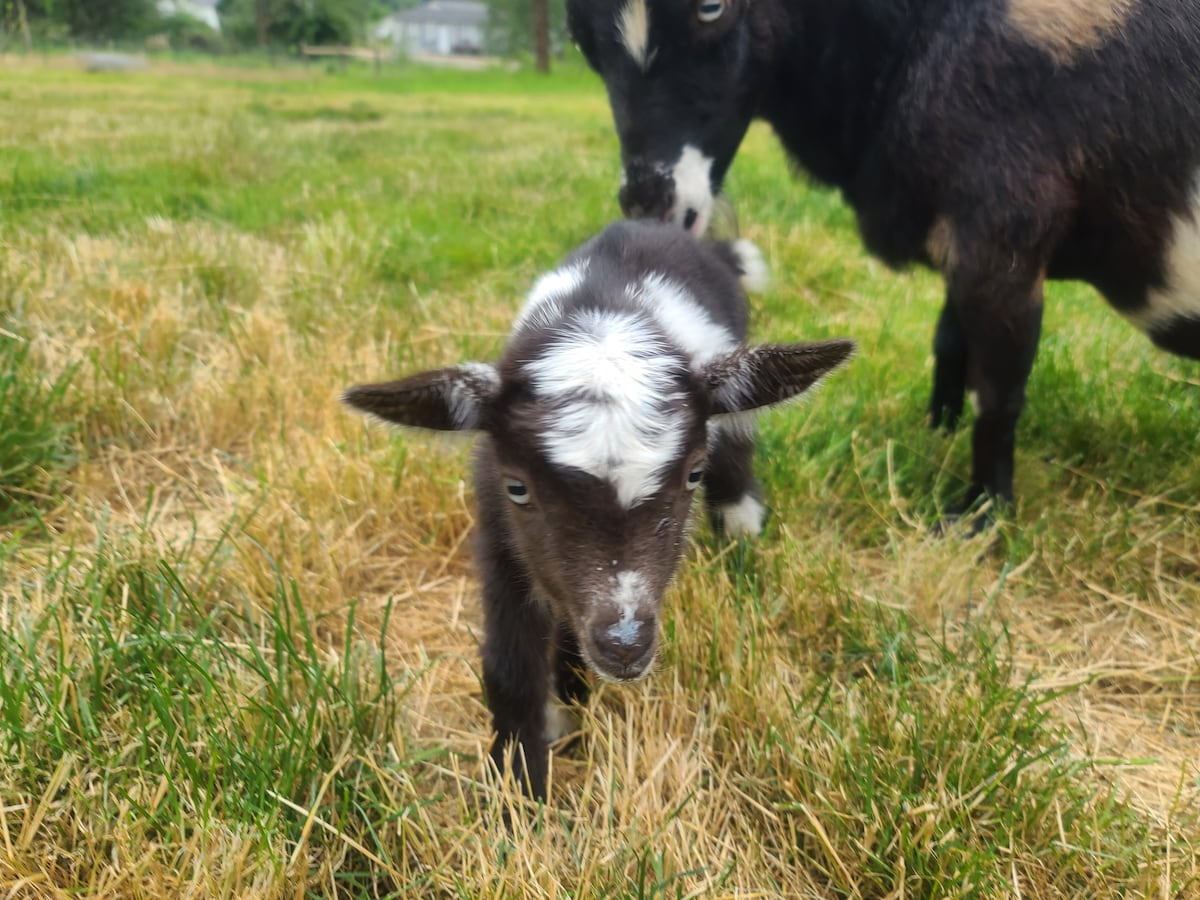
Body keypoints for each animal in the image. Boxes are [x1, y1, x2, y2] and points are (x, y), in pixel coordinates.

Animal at [343, 222, 854, 801]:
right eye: (517, 487)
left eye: (692, 475)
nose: (626, 646)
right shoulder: (501, 537)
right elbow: (509, 665)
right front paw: (520, 789)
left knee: (739, 453)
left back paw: (741, 538)